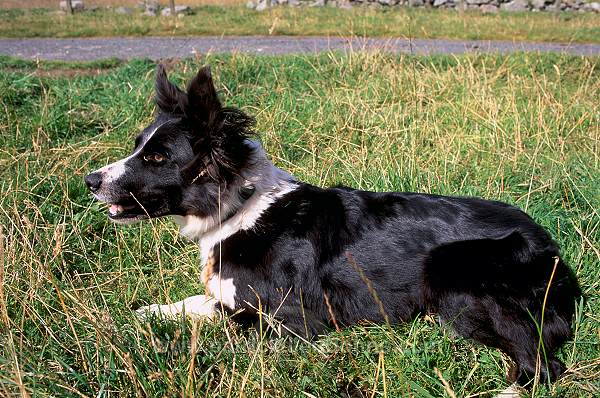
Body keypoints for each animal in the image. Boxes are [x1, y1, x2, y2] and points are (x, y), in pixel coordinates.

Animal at [85, 64, 580, 386]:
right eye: (138, 145)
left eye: (157, 157)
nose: (90, 181)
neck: (240, 209)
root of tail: (552, 249)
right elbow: (193, 304)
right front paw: (141, 315)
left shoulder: (295, 322)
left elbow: (229, 325)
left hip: (455, 273)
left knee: (543, 366)